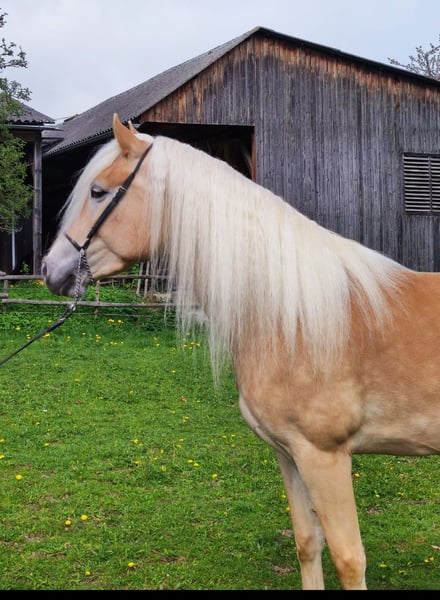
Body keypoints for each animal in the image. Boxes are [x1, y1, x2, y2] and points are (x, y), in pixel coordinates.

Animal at [42, 113, 440, 590]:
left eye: (98, 192)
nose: (50, 269)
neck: (294, 317)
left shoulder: (325, 457)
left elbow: (348, 559)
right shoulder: (290, 454)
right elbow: (308, 543)